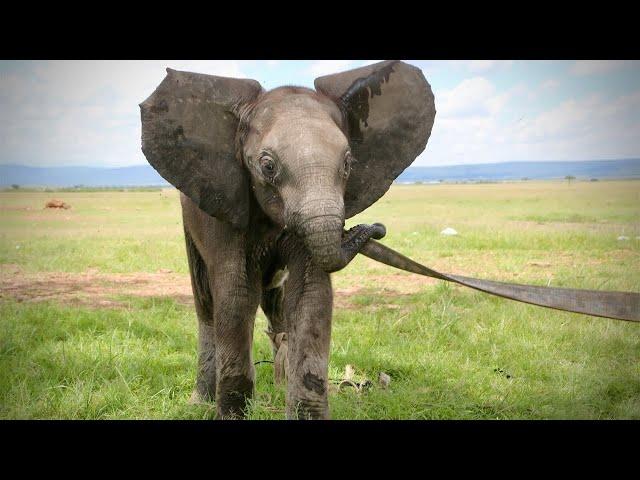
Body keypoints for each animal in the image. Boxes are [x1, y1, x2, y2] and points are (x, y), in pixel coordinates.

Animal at [139, 61, 436, 420]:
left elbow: (310, 294)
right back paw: (201, 401)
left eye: (348, 164)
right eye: (267, 166)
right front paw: (233, 414)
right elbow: (236, 294)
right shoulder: (225, 204)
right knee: (206, 302)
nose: (376, 228)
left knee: (275, 304)